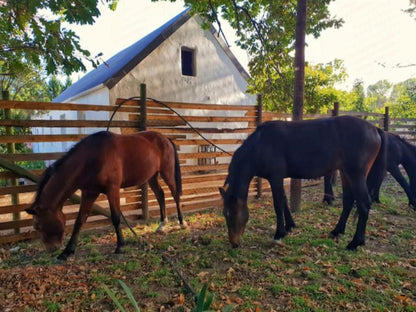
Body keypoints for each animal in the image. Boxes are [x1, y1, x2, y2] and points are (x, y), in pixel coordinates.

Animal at [26, 130, 187, 260]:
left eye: (38, 226)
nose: (51, 249)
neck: (91, 158)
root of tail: (165, 138)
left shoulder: (112, 189)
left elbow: (115, 217)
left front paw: (120, 246)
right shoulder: (89, 193)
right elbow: (79, 221)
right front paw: (67, 252)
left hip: (167, 172)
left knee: (175, 195)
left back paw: (182, 223)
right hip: (152, 177)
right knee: (160, 195)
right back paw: (162, 224)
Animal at [219, 116, 386, 251]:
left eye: (231, 213)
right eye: (225, 214)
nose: (234, 243)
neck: (261, 144)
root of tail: (375, 129)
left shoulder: (275, 178)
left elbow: (278, 204)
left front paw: (279, 233)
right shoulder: (279, 178)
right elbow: (284, 201)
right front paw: (290, 226)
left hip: (356, 175)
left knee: (364, 205)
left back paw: (355, 242)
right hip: (345, 174)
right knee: (348, 201)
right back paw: (337, 230)